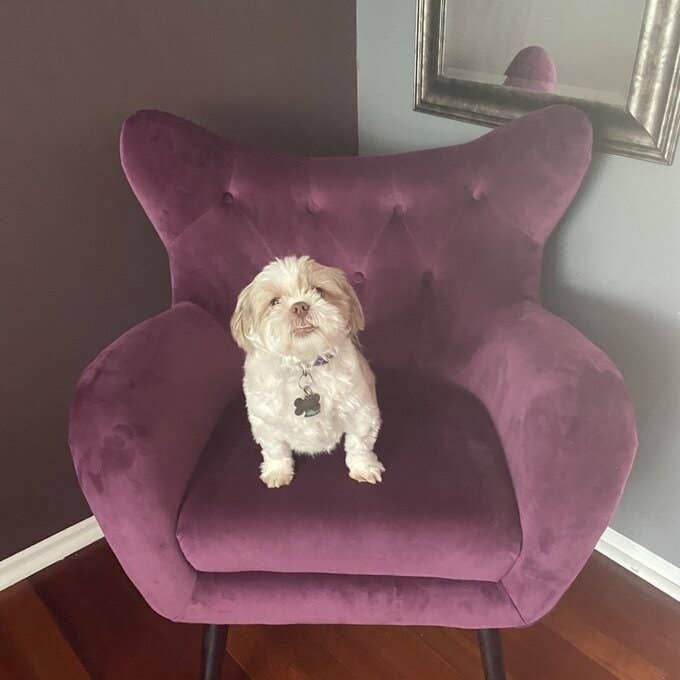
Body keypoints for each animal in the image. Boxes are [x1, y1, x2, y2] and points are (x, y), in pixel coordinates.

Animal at [231, 256, 386, 488]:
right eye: (274, 302)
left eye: (319, 291)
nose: (300, 306)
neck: (305, 363)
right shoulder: (265, 422)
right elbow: (275, 450)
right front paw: (277, 471)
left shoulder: (361, 413)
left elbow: (359, 444)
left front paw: (364, 467)